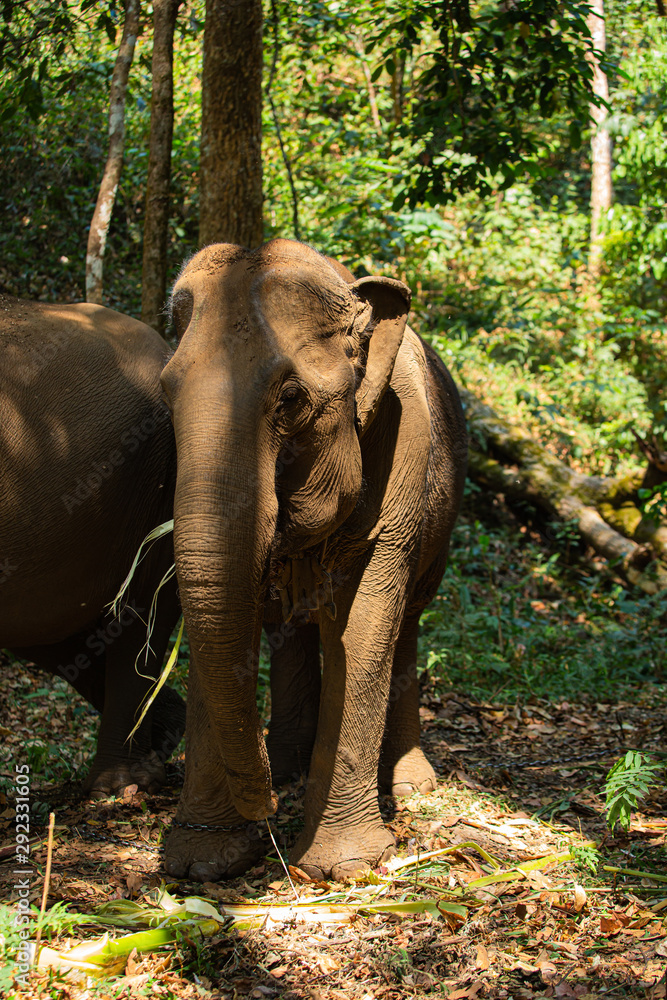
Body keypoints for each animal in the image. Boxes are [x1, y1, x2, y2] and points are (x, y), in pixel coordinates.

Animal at [161, 238, 467, 882]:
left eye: (291, 399)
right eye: (166, 394)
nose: (269, 810)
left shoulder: (402, 449)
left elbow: (363, 624)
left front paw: (341, 867)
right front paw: (203, 863)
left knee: (407, 623)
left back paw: (410, 785)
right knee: (291, 629)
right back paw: (286, 764)